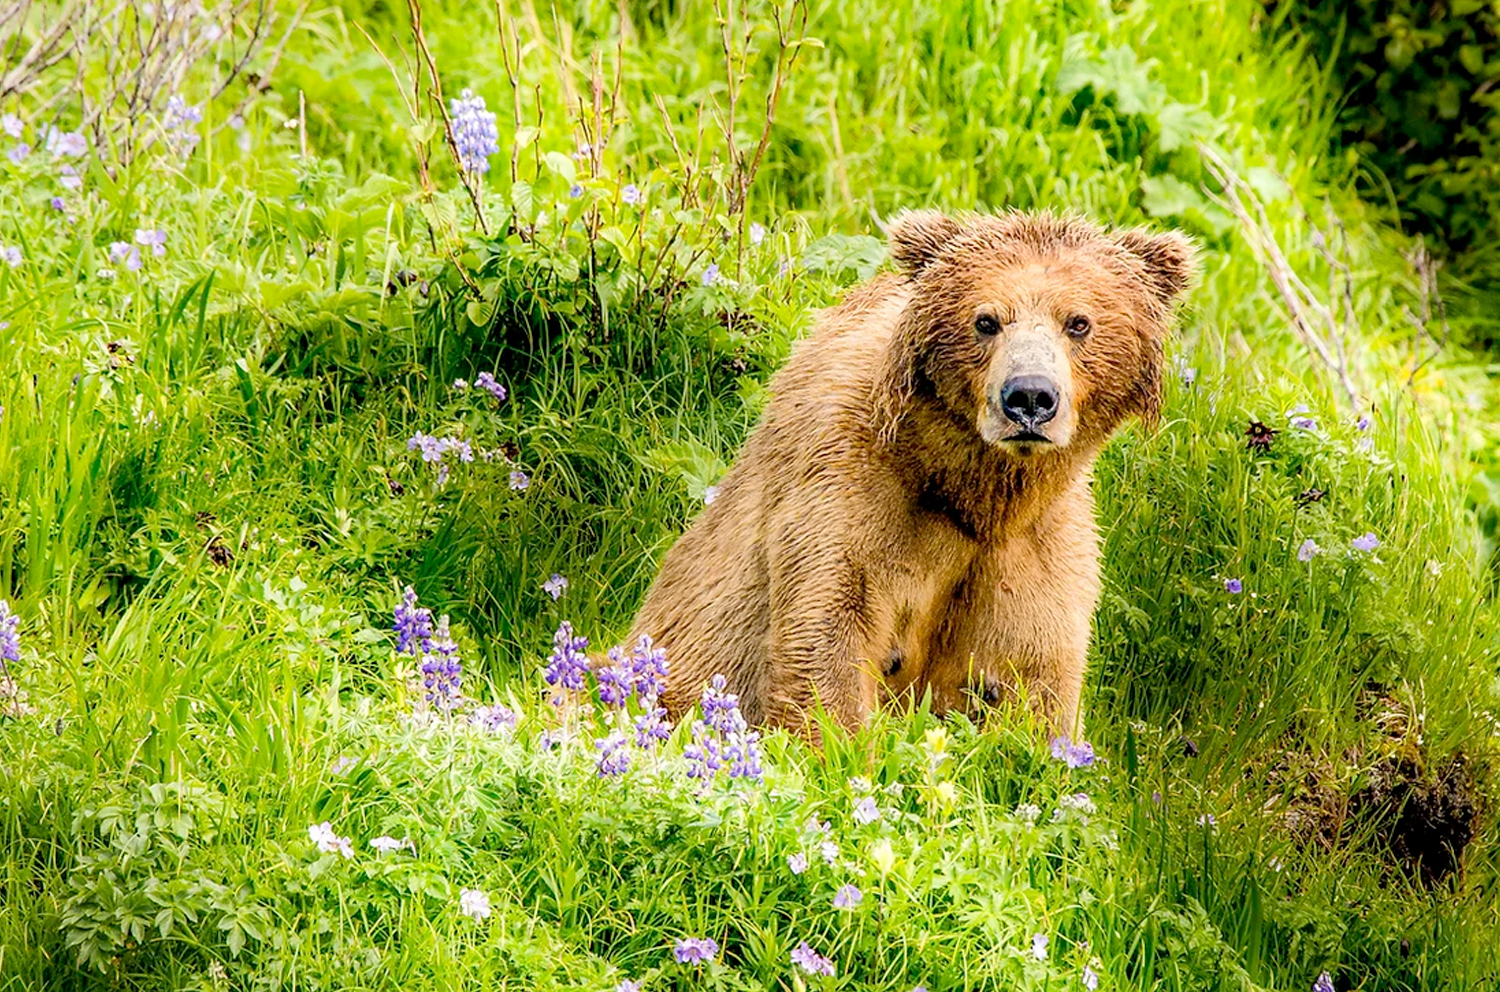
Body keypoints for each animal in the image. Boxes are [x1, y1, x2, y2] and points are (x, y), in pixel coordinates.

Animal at [629, 210, 1194, 739]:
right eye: (986, 320)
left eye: (1078, 322)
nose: (1029, 397)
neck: (968, 486)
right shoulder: (848, 484)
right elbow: (829, 631)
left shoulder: (1038, 543)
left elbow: (1030, 676)